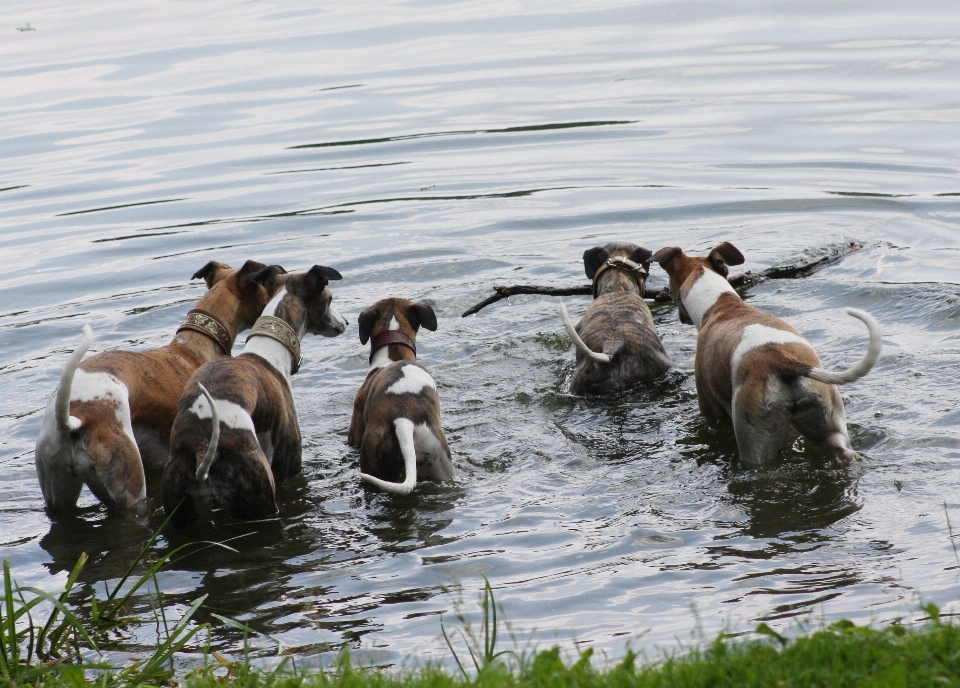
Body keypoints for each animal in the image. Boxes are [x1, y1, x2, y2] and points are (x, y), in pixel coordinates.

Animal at [163, 264, 346, 528]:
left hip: (179, 512)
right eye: (330, 298)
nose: (346, 323)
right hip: (260, 498)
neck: (265, 353)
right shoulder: (288, 466)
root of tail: (202, 449)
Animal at [652, 243, 884, 468]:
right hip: (827, 417)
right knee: (842, 448)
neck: (720, 304)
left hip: (755, 440)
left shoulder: (711, 408)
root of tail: (780, 359)